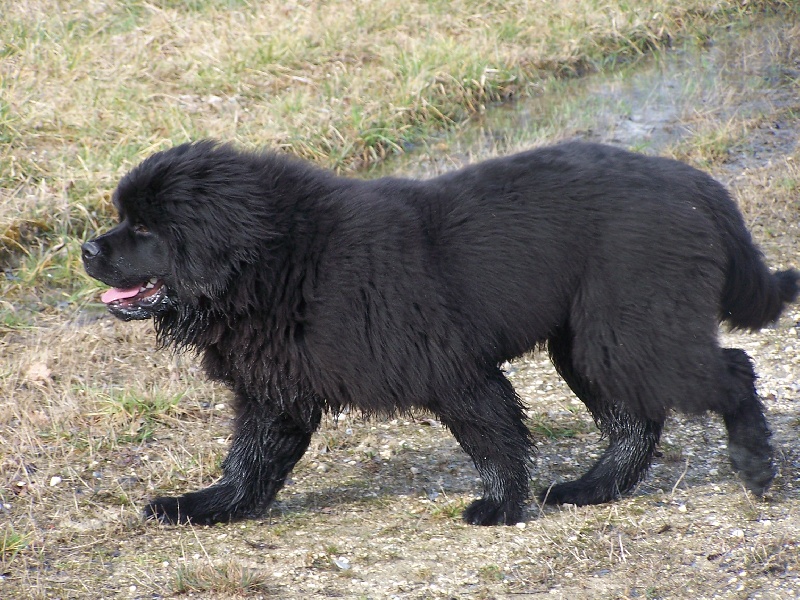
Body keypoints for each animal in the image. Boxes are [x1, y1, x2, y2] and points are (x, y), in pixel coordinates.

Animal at [84, 141, 796, 524]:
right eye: (123, 218)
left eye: (144, 229)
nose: (88, 249)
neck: (282, 261)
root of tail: (696, 185)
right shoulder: (276, 390)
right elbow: (251, 459)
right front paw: (207, 507)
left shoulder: (451, 367)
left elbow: (494, 438)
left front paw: (498, 507)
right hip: (591, 341)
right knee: (635, 421)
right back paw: (591, 489)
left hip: (629, 327)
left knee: (732, 368)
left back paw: (755, 465)